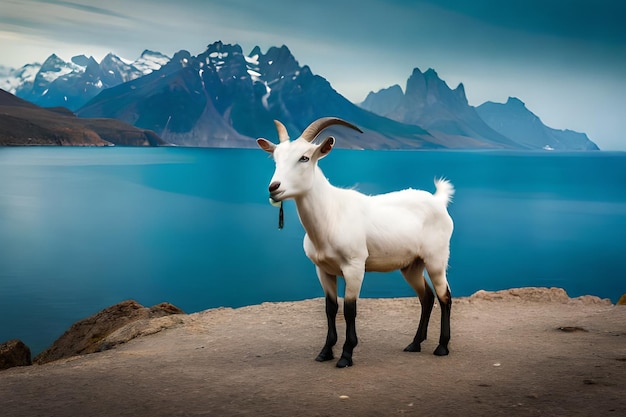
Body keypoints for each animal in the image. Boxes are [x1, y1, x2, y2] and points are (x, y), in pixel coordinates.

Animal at [255, 117, 454, 368]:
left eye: (304, 157)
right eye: (275, 158)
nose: (274, 188)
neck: (332, 214)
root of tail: (438, 200)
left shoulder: (354, 266)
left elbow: (350, 309)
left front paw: (346, 355)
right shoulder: (322, 269)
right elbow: (331, 308)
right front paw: (325, 351)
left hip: (436, 258)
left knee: (444, 296)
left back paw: (442, 347)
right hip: (411, 265)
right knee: (426, 297)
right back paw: (414, 344)